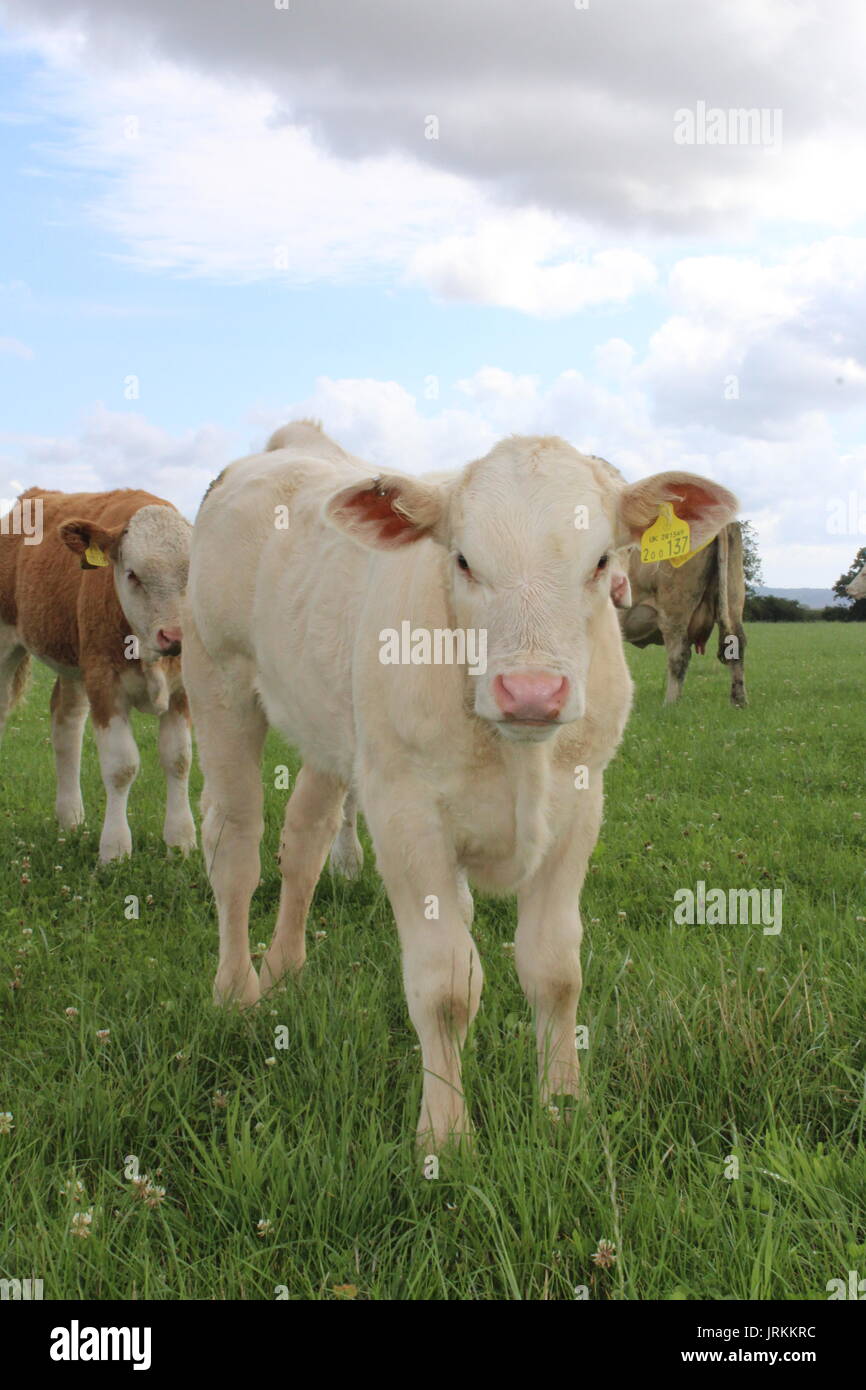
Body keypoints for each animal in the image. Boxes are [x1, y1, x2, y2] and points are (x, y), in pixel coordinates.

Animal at [1, 486, 194, 856]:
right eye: (132, 574)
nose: (176, 636)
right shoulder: (105, 681)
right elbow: (122, 766)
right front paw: (115, 849)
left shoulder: (182, 690)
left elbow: (178, 759)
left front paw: (181, 841)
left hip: (75, 664)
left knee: (66, 724)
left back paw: (71, 819)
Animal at [619, 525, 750, 711]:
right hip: (734, 592)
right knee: (736, 643)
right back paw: (739, 702)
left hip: (674, 606)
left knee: (679, 655)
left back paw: (669, 705)